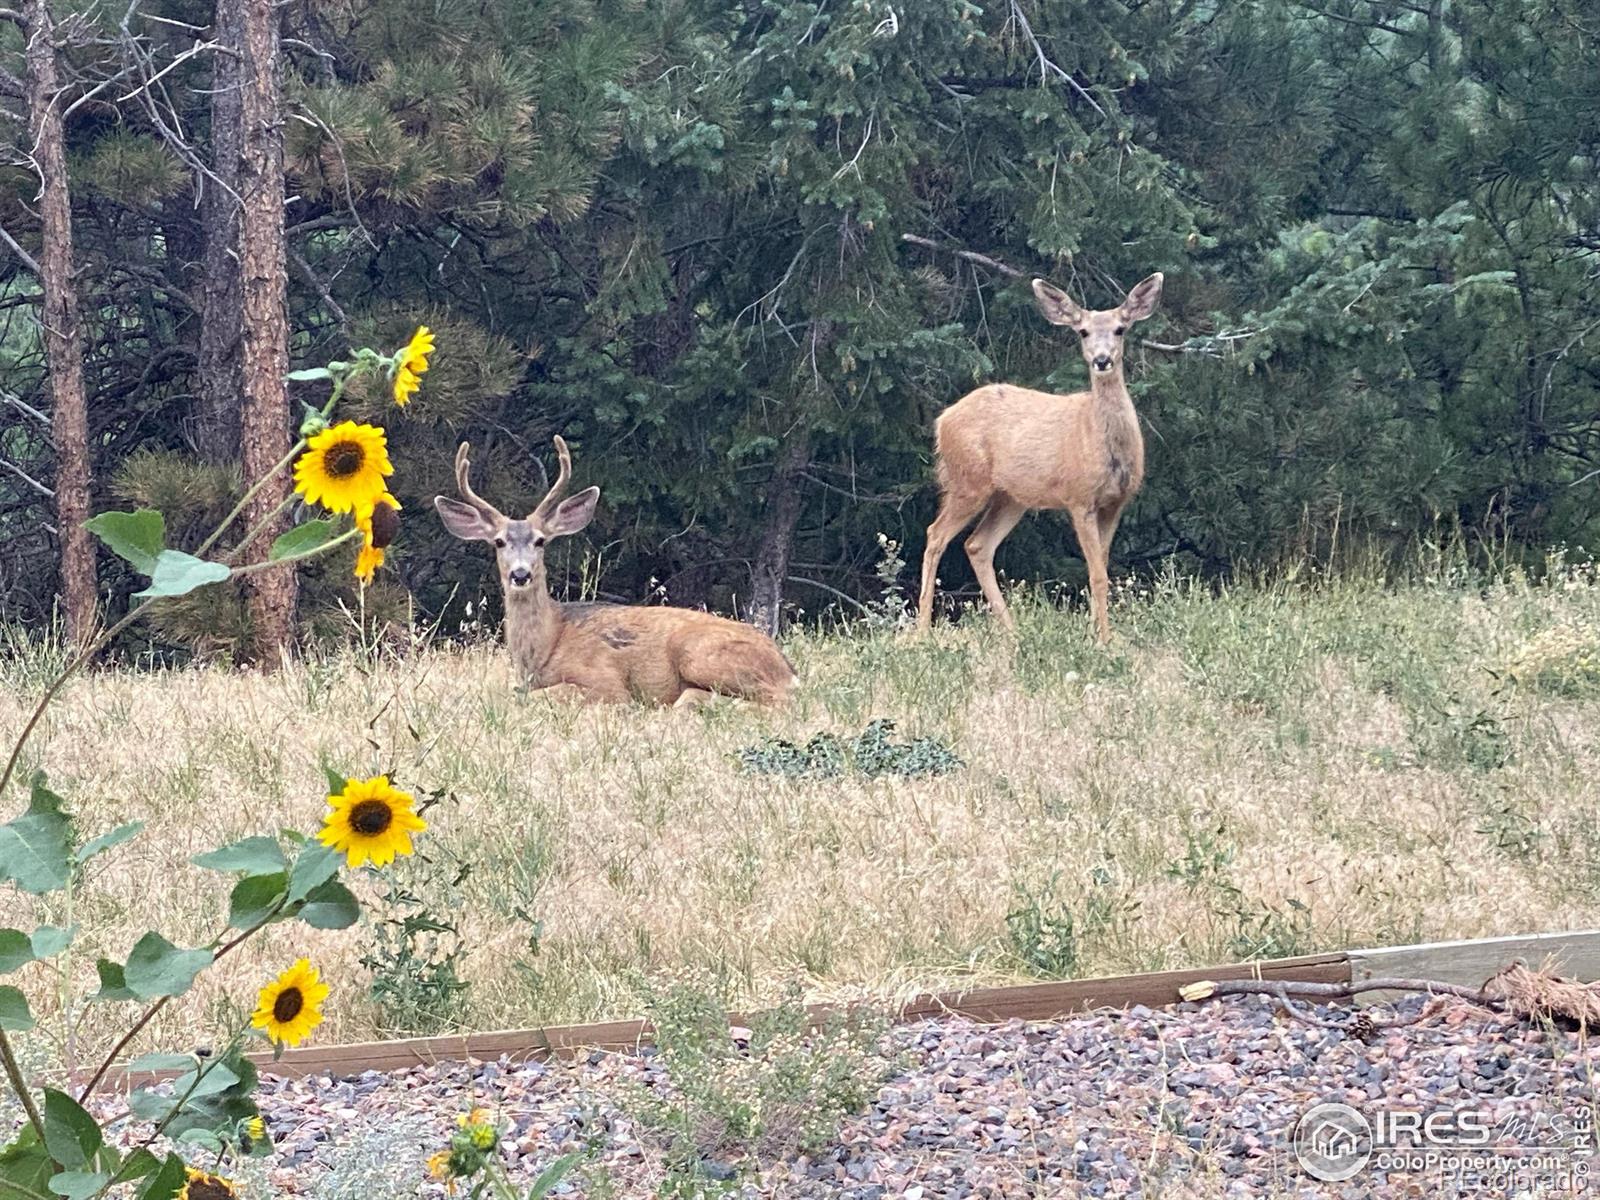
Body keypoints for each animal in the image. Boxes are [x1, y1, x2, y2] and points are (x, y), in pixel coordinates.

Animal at [435, 438, 796, 704]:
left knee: (772, 700)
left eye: (540, 541)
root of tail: (788, 670)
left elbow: (541, 695)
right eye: (498, 542)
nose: (521, 574)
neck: (547, 646)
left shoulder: (605, 682)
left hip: (699, 653)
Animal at [921, 273, 1171, 649]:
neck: (1102, 446)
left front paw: (1095, 632)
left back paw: (1012, 632)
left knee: (977, 544)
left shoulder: (1116, 504)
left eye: (1120, 329)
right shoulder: (1079, 498)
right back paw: (920, 632)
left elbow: (1101, 566)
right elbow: (1097, 574)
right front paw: (1104, 640)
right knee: (935, 535)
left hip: (1010, 497)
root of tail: (941, 421)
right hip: (969, 480)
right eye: (1082, 332)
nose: (1101, 360)